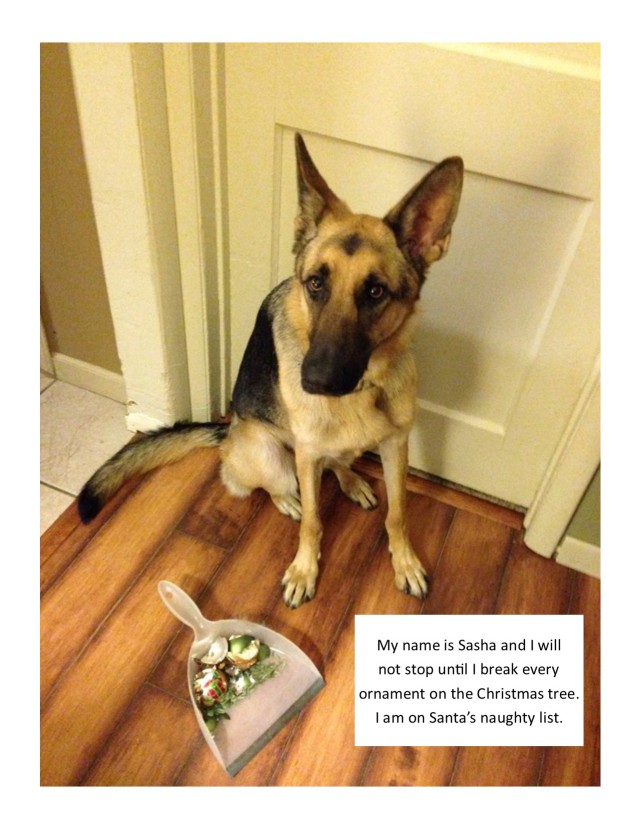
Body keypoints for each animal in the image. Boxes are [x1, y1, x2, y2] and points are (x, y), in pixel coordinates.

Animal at [78, 135, 462, 608]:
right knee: (271, 482)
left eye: (375, 291)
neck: (363, 389)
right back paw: (288, 499)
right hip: (272, 455)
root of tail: (228, 430)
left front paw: (404, 561)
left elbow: (398, 514)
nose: (315, 382)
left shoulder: (396, 447)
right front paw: (304, 568)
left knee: (338, 464)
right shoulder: (308, 455)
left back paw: (351, 480)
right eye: (315, 283)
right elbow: (314, 522)